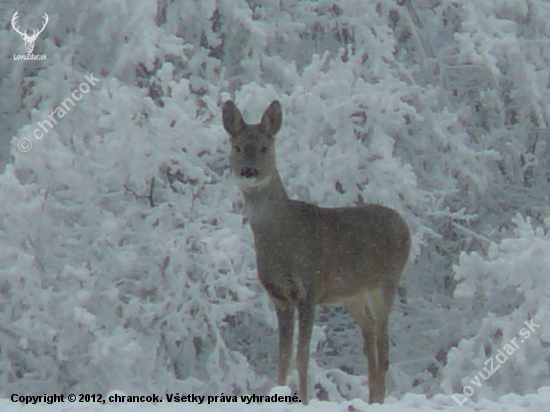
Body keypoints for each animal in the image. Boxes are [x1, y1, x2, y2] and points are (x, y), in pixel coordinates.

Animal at [222, 100, 412, 406]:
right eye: (237, 147)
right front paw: (279, 392)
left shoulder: (309, 289)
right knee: (370, 334)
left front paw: (304, 400)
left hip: (387, 281)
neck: (282, 236)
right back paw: (371, 398)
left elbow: (303, 355)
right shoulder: (279, 296)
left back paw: (380, 400)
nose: (249, 171)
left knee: (383, 346)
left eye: (264, 147)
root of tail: (405, 225)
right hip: (352, 293)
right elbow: (283, 357)